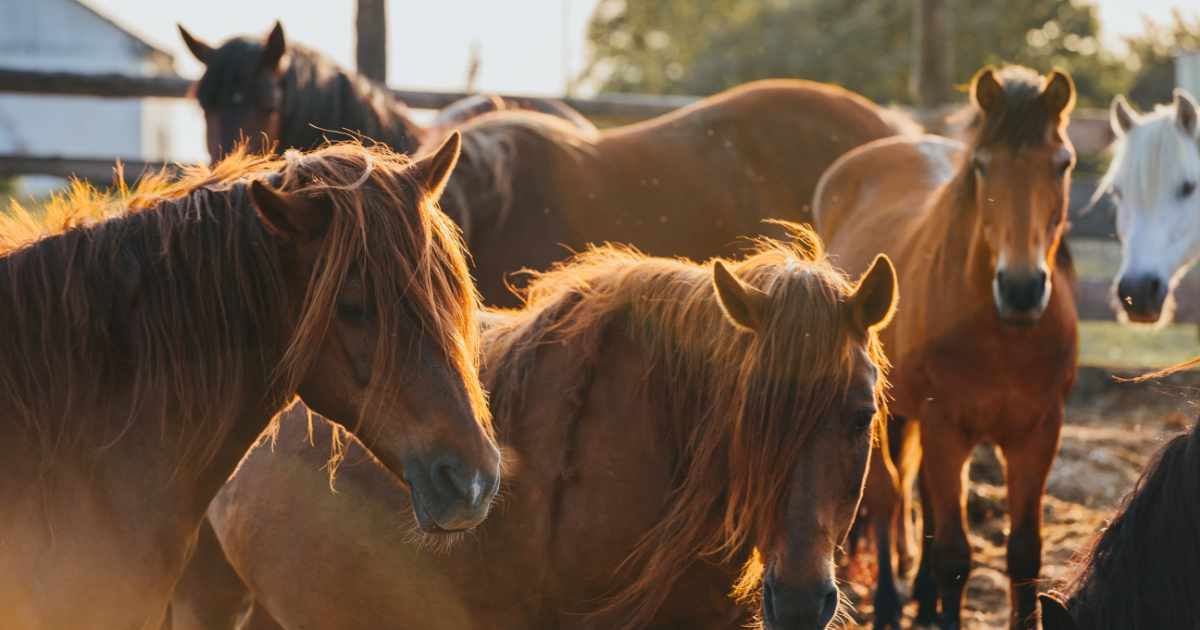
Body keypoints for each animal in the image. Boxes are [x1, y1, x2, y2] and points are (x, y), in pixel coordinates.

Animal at [813, 66, 1079, 630]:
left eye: (1063, 163)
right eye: (982, 164)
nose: (1021, 288)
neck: (1005, 335)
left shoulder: (1039, 432)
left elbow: (1024, 554)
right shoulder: (946, 426)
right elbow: (955, 555)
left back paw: (922, 597)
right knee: (889, 495)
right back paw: (890, 603)